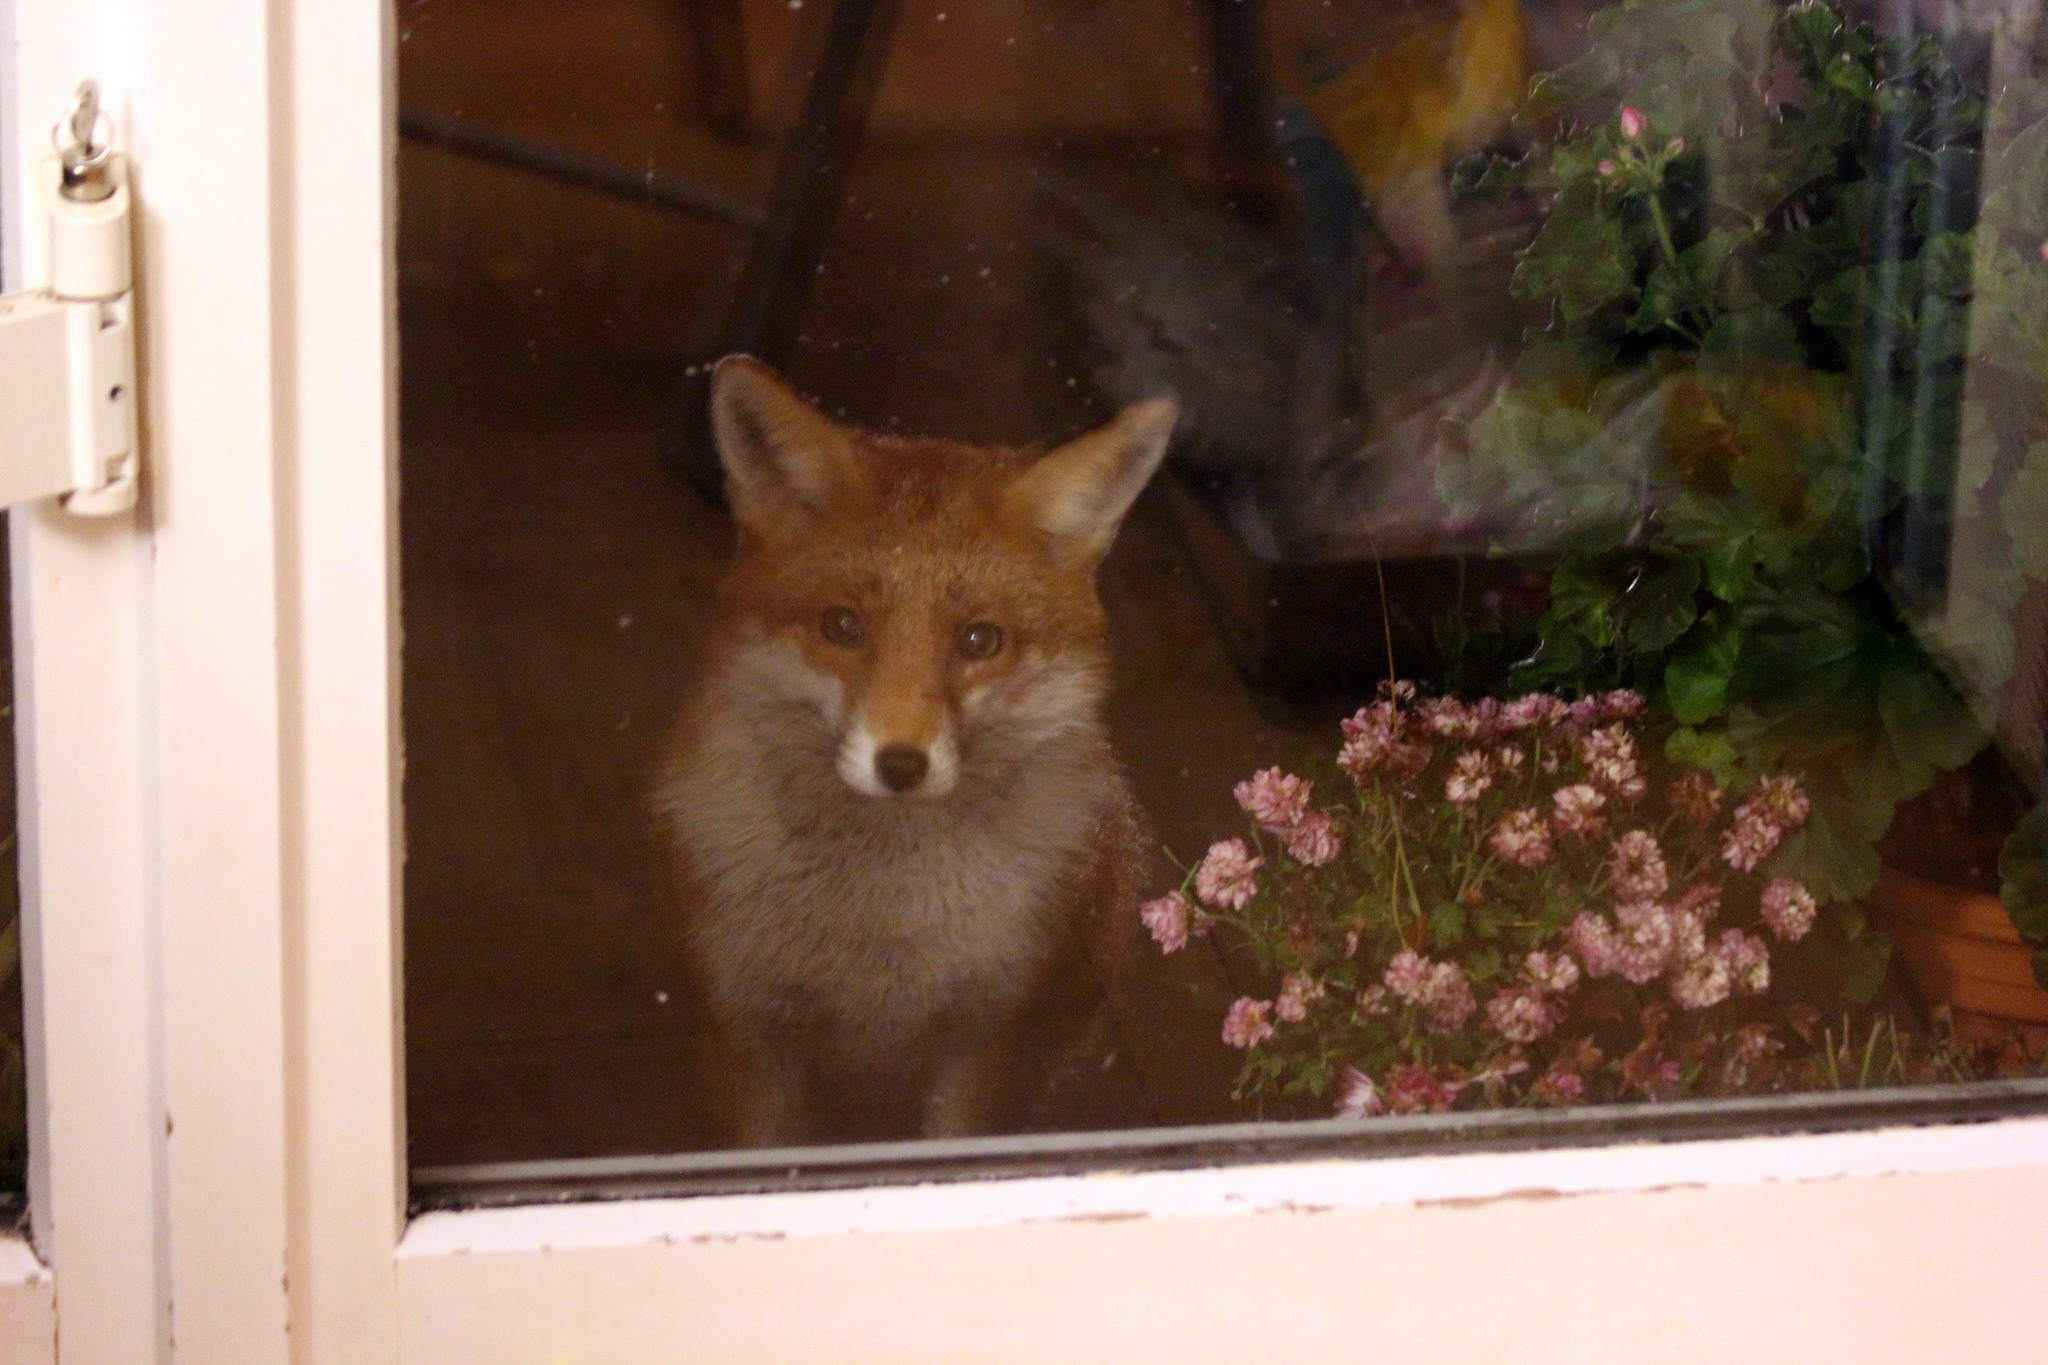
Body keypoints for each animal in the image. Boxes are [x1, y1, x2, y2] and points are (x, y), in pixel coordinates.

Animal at [651, 357, 1175, 1146]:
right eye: (841, 626)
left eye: (980, 640)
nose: (900, 765)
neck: (879, 935)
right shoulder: (746, 1039)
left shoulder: (982, 1042)